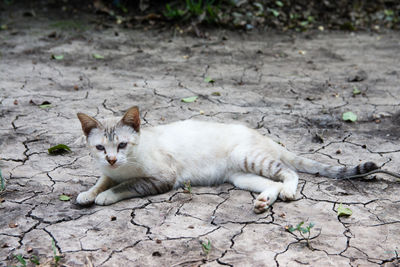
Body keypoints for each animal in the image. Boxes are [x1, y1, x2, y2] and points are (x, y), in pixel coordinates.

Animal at [76, 107, 378, 214]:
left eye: (122, 145)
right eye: (101, 148)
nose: (112, 159)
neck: (123, 168)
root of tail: (261, 134)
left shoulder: (162, 178)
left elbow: (125, 186)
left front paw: (105, 196)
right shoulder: (108, 172)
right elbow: (101, 181)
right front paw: (88, 194)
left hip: (247, 158)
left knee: (290, 174)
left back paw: (289, 192)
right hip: (241, 177)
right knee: (273, 183)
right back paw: (263, 201)